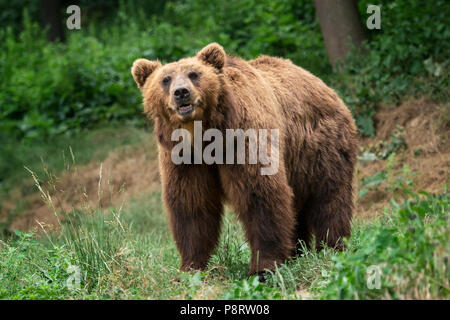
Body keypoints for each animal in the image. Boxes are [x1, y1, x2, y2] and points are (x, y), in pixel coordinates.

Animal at [131, 42, 358, 278]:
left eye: (194, 74)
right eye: (165, 79)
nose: (181, 92)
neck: (204, 135)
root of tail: (324, 85)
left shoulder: (243, 136)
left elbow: (259, 195)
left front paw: (264, 268)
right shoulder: (184, 158)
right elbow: (192, 203)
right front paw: (190, 267)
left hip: (321, 146)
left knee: (330, 197)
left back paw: (332, 247)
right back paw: (297, 252)